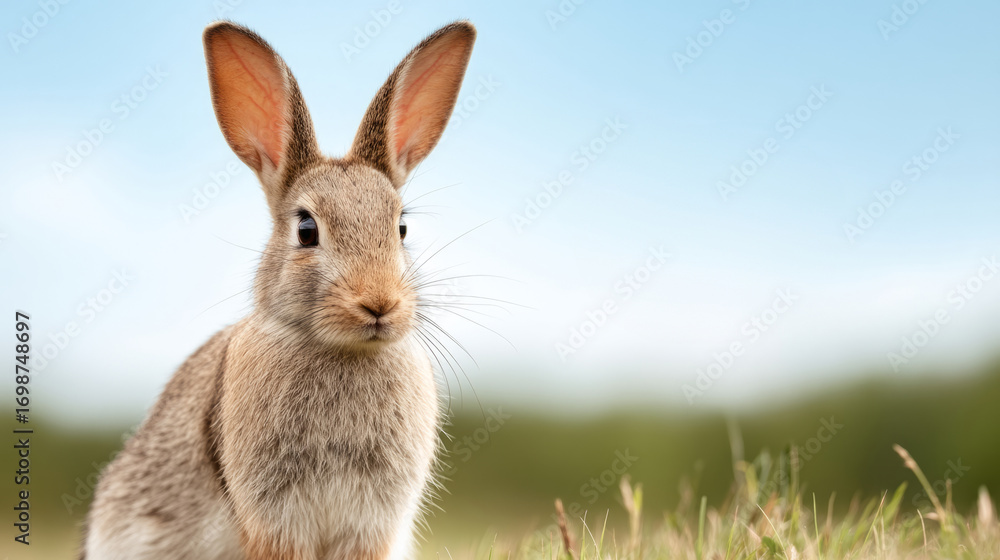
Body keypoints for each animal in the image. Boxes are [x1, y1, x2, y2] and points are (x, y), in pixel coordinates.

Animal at [80, 19, 477, 560]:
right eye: (306, 230)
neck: (342, 352)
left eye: (401, 229)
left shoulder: (371, 525)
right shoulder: (275, 518)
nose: (379, 304)